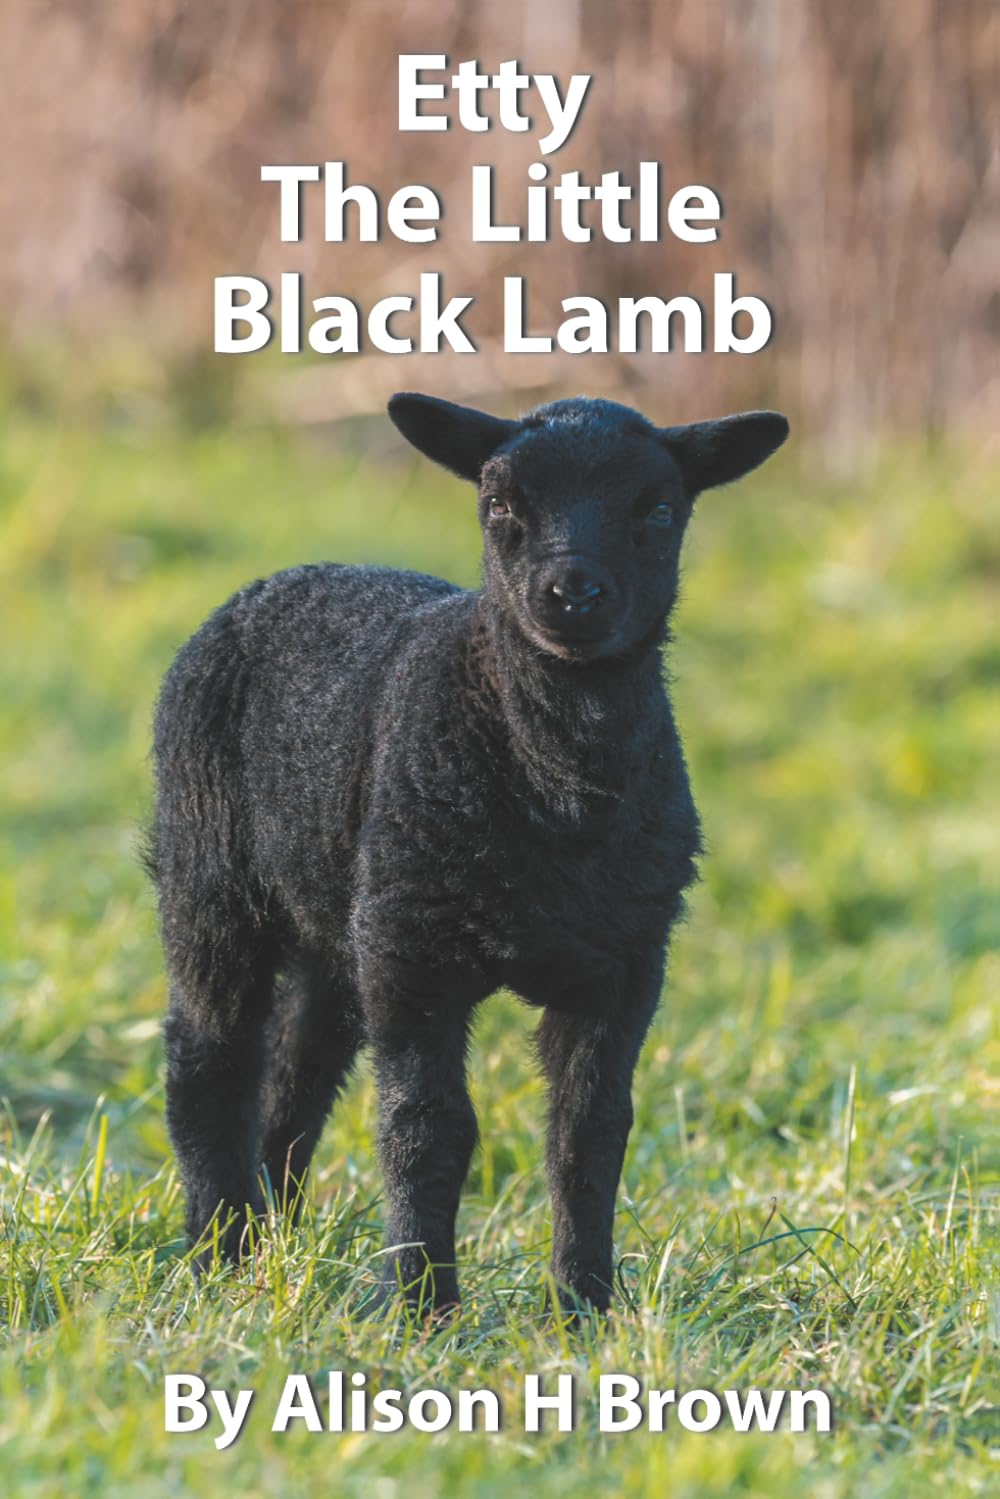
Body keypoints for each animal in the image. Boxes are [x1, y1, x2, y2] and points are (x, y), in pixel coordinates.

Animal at [149, 391, 788, 1316]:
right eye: (499, 506)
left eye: (659, 510)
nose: (573, 592)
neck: (559, 790)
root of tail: (283, 577)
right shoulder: (414, 952)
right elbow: (427, 1126)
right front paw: (421, 1304)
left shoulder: (628, 959)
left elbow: (589, 1129)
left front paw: (585, 1305)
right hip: (214, 875)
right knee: (209, 1058)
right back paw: (217, 1255)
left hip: (342, 925)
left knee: (295, 1080)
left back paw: (271, 1241)